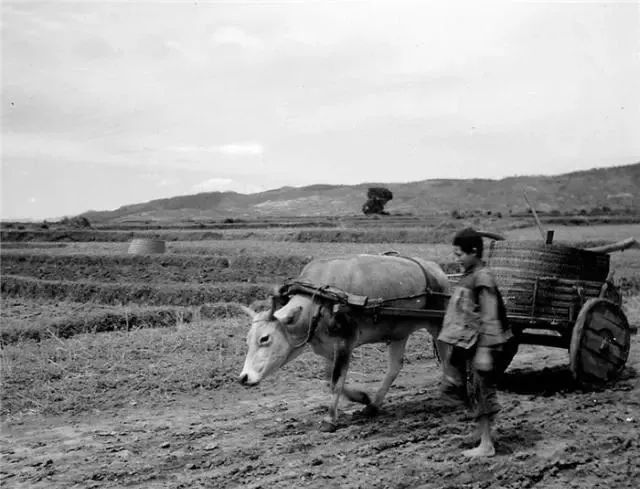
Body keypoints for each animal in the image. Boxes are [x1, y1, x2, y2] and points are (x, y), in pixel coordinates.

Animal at [236, 254, 450, 428]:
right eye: (247, 339)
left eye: (265, 338)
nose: (243, 378)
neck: (320, 301)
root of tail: (436, 270)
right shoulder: (328, 348)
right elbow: (329, 378)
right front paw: (362, 397)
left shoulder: (345, 343)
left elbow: (336, 380)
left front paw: (330, 420)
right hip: (399, 333)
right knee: (395, 367)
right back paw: (373, 405)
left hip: (437, 324)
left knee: (446, 356)